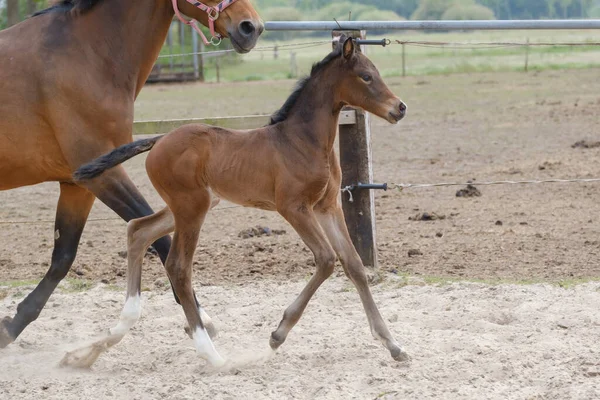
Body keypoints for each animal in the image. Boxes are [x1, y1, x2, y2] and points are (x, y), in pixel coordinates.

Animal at [0, 0, 262, 348]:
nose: (252, 27)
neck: (85, 54)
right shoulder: (103, 175)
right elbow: (160, 240)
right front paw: (202, 320)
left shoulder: (77, 183)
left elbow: (63, 257)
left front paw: (11, 325)